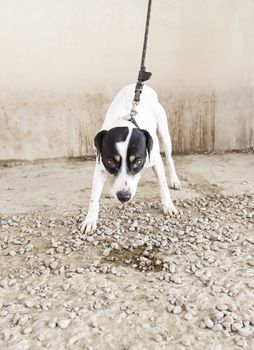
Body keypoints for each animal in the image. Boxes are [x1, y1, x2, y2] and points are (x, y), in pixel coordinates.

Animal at [81, 84, 181, 232]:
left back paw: (174, 180)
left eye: (138, 162)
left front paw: (168, 206)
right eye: (110, 162)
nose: (124, 197)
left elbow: (163, 185)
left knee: (169, 159)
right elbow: (94, 196)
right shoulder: (100, 166)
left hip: (164, 134)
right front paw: (90, 219)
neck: (126, 121)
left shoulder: (156, 161)